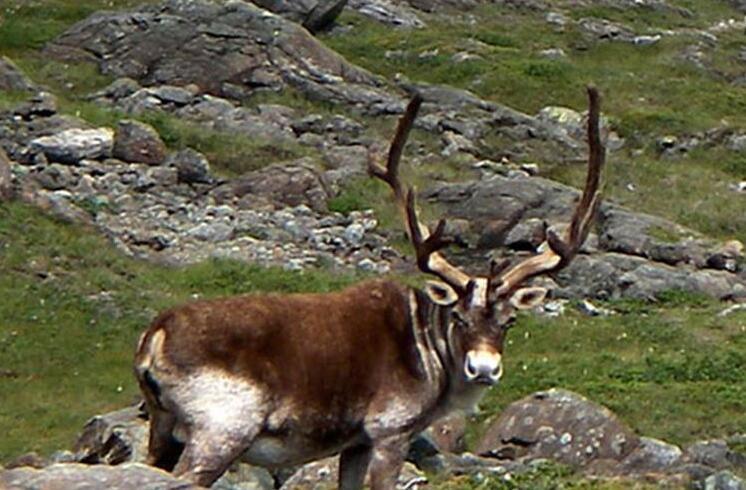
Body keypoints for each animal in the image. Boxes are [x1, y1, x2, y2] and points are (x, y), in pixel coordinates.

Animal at [134, 87, 605, 489]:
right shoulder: (389, 432)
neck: (429, 349)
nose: (484, 369)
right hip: (222, 430)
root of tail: (155, 335)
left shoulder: (355, 444)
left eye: (509, 321)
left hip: (163, 426)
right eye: (458, 316)